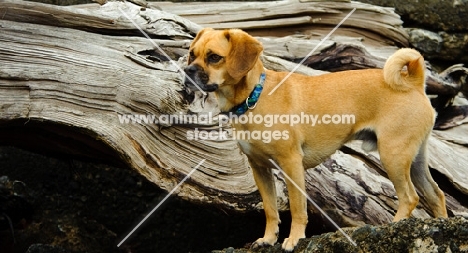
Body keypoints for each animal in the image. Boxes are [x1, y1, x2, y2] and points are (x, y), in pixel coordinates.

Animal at [182, 27, 446, 251]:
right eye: (191, 55)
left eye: (214, 57)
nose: (187, 71)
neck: (253, 97)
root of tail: (414, 82)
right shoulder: (260, 169)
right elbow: (270, 209)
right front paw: (268, 239)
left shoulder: (291, 164)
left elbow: (298, 208)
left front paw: (294, 239)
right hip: (415, 160)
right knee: (436, 195)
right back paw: (440, 225)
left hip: (393, 155)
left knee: (410, 197)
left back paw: (394, 224)